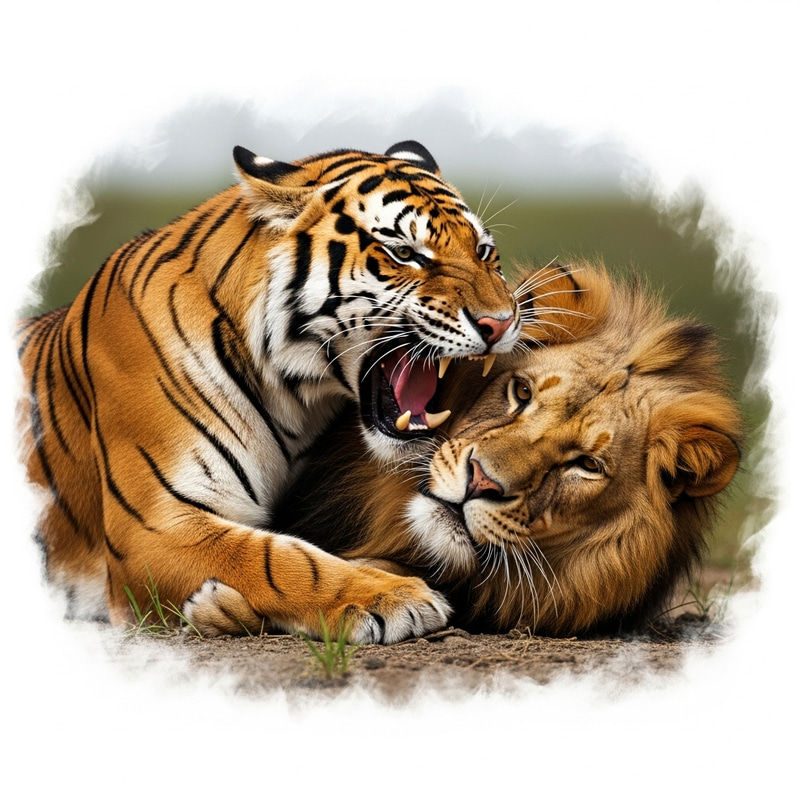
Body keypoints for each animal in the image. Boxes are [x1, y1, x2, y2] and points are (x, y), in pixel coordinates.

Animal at [16, 140, 522, 644]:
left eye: (483, 251)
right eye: (403, 253)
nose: (501, 322)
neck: (295, 402)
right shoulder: (154, 524)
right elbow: (276, 558)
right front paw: (391, 597)